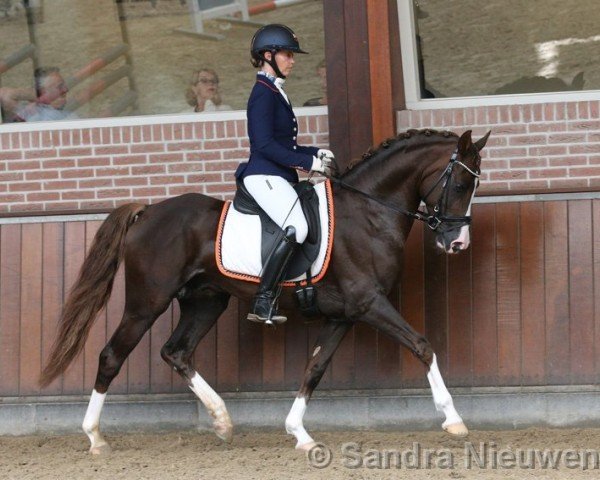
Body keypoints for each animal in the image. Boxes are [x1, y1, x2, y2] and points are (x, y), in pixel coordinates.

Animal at [37, 126, 490, 454]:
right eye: (460, 186)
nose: (458, 244)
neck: (368, 213)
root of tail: (147, 211)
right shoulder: (369, 303)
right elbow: (422, 345)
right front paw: (453, 420)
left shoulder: (344, 314)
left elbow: (315, 368)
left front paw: (299, 433)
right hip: (146, 303)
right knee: (112, 356)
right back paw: (95, 437)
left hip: (206, 301)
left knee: (176, 352)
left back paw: (222, 421)